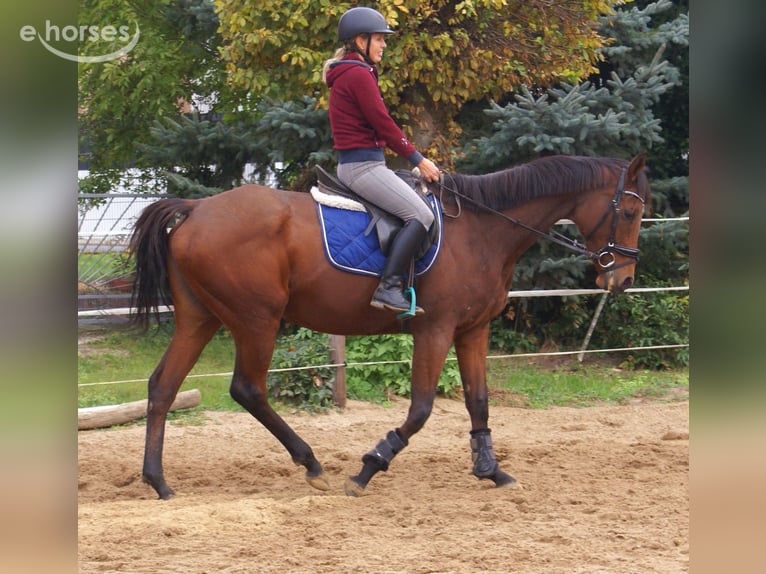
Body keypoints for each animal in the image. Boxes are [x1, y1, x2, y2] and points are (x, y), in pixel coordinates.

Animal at [129, 153, 650, 499]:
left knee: (163, 387)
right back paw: (310, 462)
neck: (482, 231)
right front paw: (368, 468)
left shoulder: (472, 330)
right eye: (628, 211)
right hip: (257, 319)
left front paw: (490, 470)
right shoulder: (434, 331)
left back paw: (159, 482)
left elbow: (479, 402)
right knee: (247, 389)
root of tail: (197, 209)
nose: (622, 279)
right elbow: (420, 409)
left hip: (201, 318)